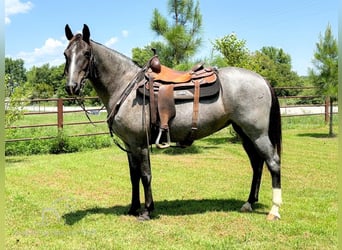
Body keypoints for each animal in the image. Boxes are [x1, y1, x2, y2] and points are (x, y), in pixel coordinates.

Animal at [64, 24, 284, 221]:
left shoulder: (140, 144)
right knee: (257, 164)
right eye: (66, 54)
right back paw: (249, 202)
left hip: (258, 133)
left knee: (273, 162)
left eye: (86, 53)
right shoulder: (130, 144)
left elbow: (145, 175)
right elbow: (134, 176)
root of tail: (262, 79)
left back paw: (274, 211)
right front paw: (133, 208)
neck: (125, 86)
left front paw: (147, 211)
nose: (71, 87)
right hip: (244, 132)